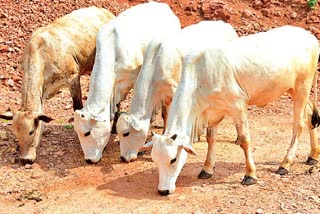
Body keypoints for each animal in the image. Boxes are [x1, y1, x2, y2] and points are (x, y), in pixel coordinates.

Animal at [0, 6, 115, 164]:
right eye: (14, 132)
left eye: (31, 131)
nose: (25, 159)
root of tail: (105, 11)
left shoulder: (73, 78)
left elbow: (77, 106)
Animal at [115, 21, 238, 162]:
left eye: (126, 133)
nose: (123, 158)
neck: (157, 61)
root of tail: (226, 26)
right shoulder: (165, 96)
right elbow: (165, 115)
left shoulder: (174, 92)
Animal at [145, 25, 320, 196]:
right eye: (154, 159)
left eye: (173, 159)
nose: (163, 191)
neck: (200, 74)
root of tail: (310, 37)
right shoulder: (214, 111)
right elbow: (211, 138)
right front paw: (207, 169)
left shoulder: (237, 105)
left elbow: (244, 139)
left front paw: (250, 174)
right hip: (293, 89)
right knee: (310, 116)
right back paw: (313, 155)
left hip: (302, 87)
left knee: (299, 125)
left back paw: (285, 164)